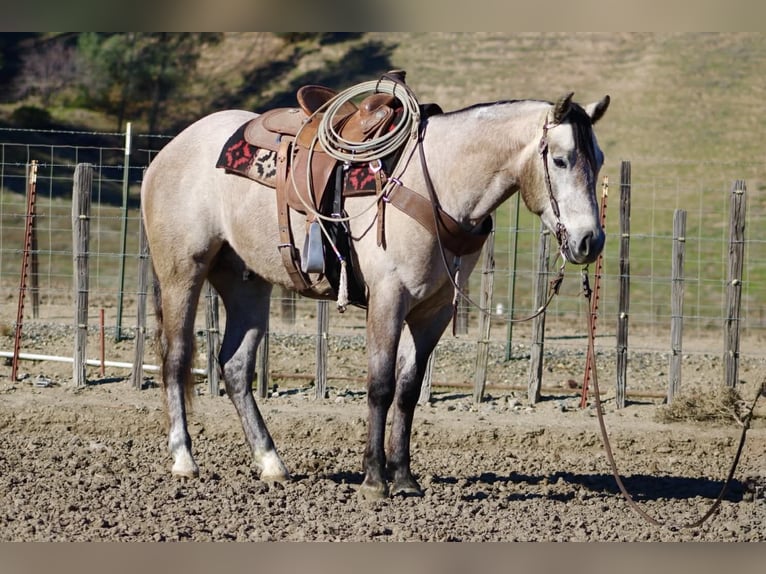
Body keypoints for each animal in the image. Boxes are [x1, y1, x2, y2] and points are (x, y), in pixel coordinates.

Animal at [140, 83, 610, 499]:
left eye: (600, 159)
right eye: (562, 160)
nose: (591, 241)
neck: (436, 183)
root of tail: (169, 151)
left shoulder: (432, 312)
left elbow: (408, 390)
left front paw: (404, 478)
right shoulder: (388, 299)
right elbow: (381, 386)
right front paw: (373, 481)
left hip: (246, 283)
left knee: (236, 366)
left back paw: (272, 463)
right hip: (182, 271)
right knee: (175, 356)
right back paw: (184, 459)